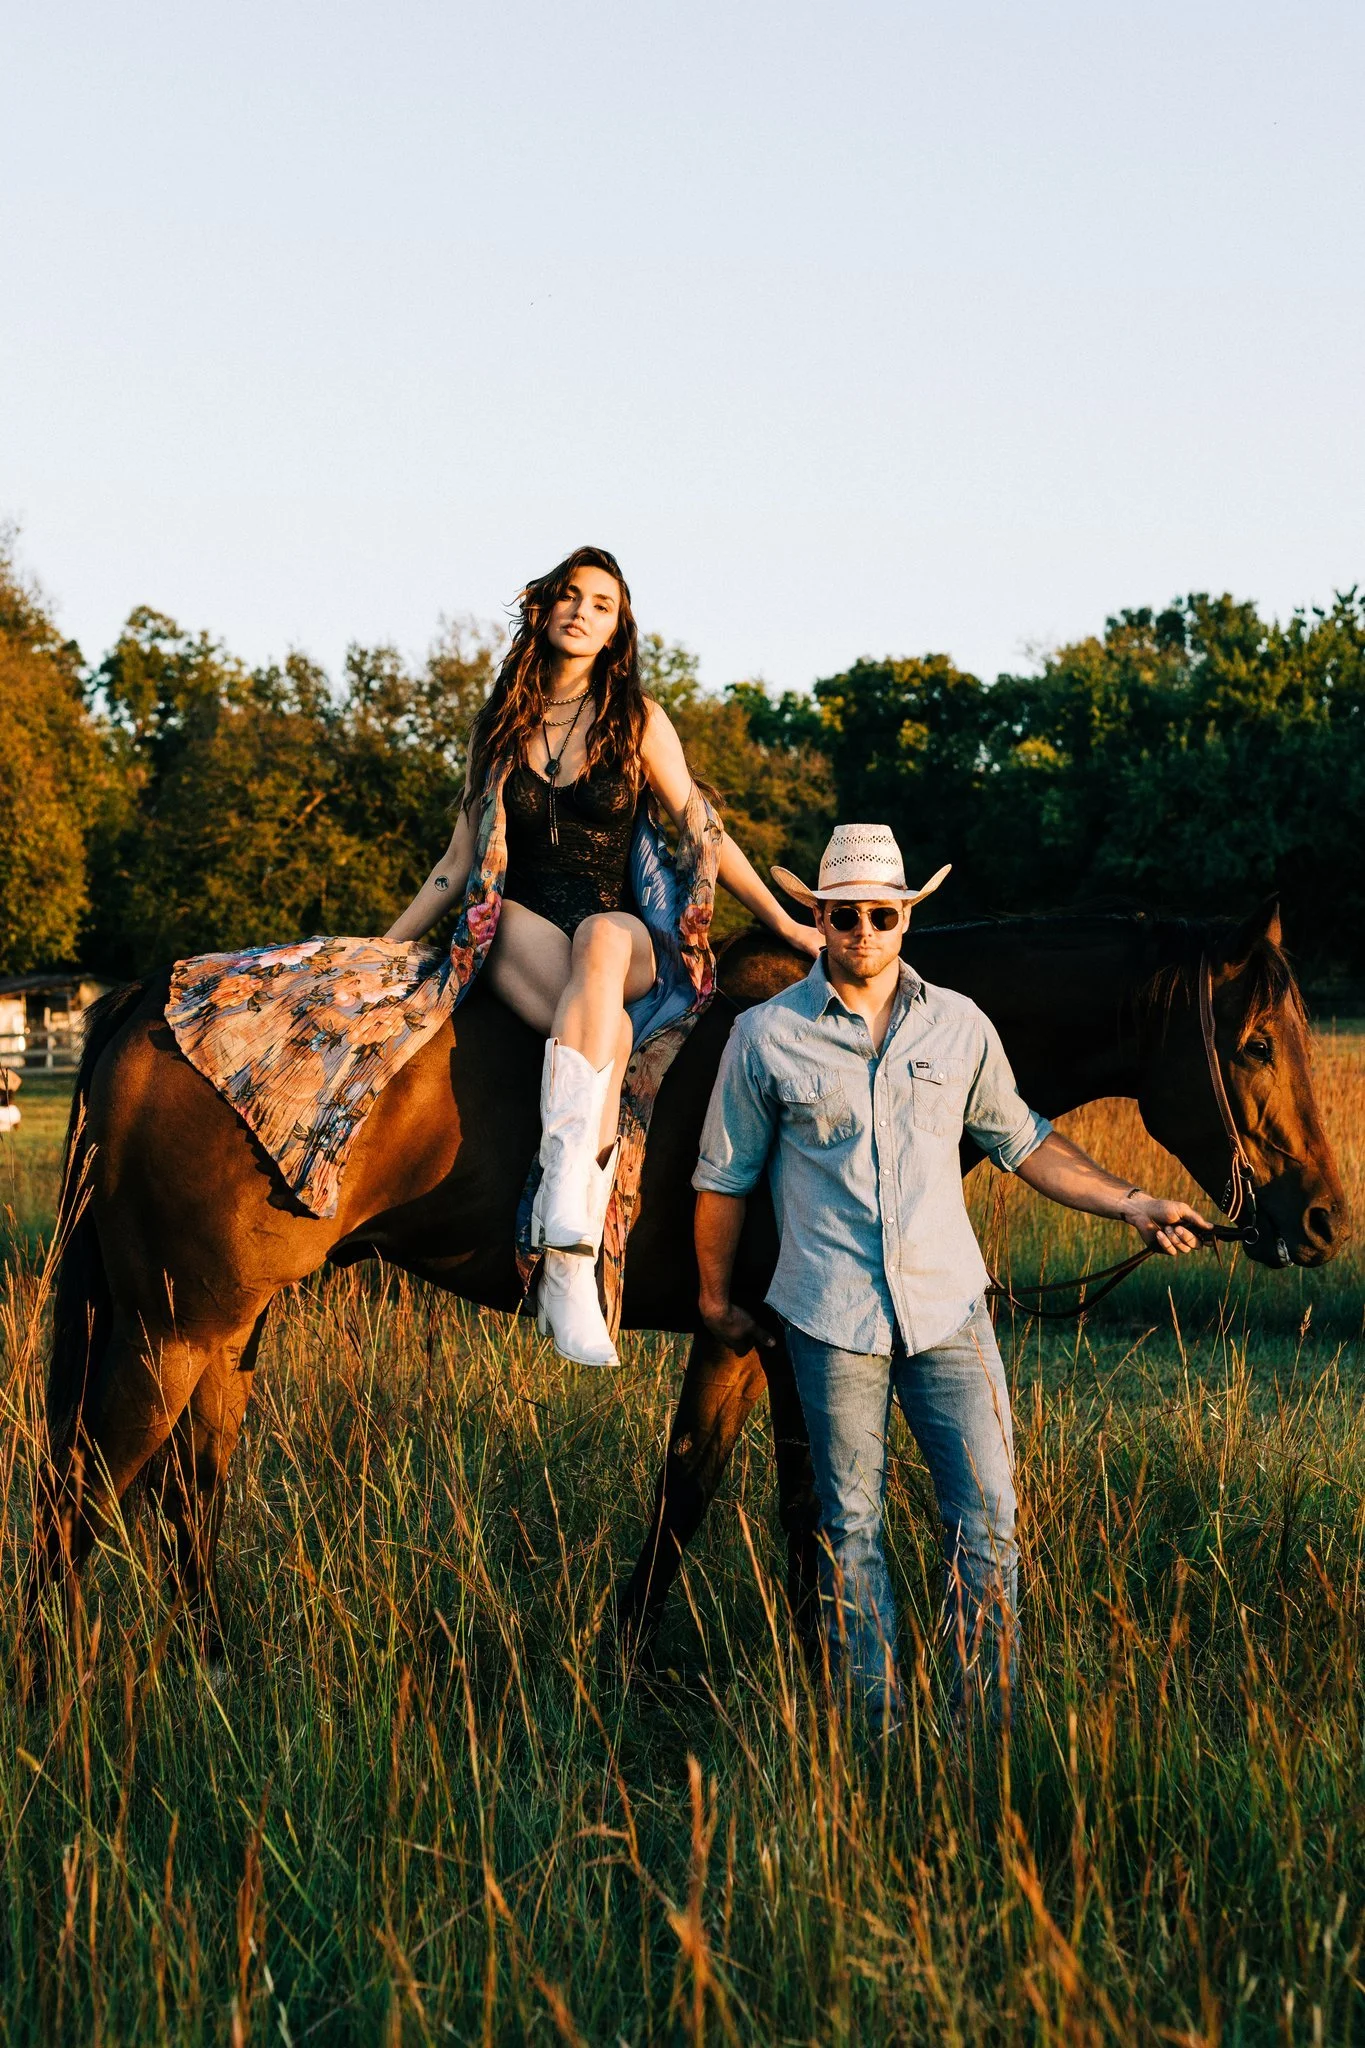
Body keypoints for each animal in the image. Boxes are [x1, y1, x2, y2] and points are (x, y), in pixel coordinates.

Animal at [29, 900, 1346, 1677]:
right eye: (1254, 1045)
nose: (1324, 1216)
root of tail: (149, 1000)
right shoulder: (784, 1340)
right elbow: (783, 1503)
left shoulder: (748, 1344)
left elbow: (707, 1492)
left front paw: (646, 1662)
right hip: (168, 1331)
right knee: (84, 1493)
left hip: (221, 1332)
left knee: (188, 1493)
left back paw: (215, 1663)